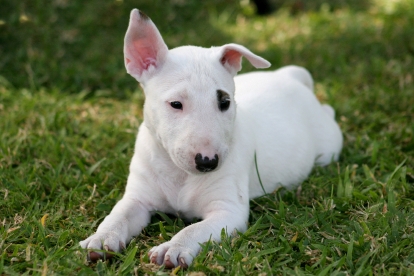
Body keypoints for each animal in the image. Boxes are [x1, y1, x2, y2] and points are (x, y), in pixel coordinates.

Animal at [80, 8, 342, 268]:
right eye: (176, 104)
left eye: (225, 102)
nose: (208, 162)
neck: (179, 174)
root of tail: (289, 76)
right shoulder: (138, 198)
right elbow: (118, 216)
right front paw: (101, 239)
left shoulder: (228, 211)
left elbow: (194, 229)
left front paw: (173, 248)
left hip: (328, 145)